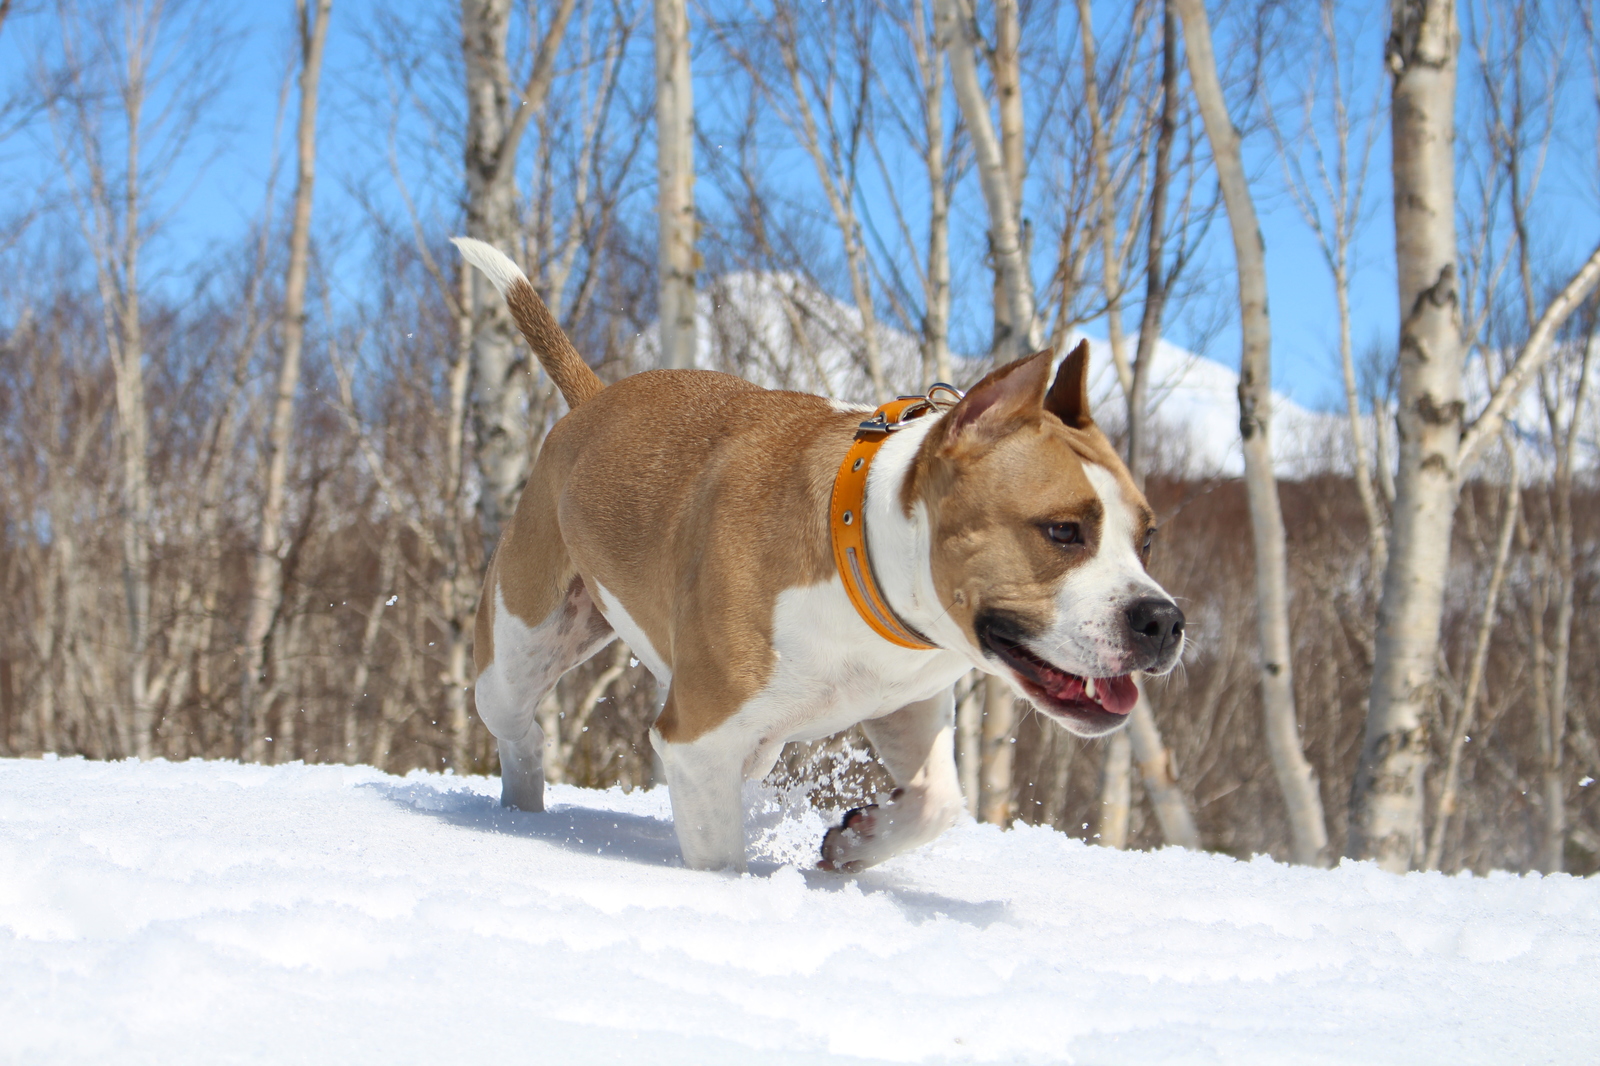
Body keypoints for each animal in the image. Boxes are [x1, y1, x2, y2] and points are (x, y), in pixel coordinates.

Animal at [457, 236, 1184, 870]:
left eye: (1147, 539)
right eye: (1063, 531)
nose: (1164, 621)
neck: (864, 561)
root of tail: (592, 401)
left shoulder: (907, 703)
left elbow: (939, 802)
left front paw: (859, 842)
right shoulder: (699, 741)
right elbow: (719, 855)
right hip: (519, 647)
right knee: (519, 729)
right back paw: (519, 817)